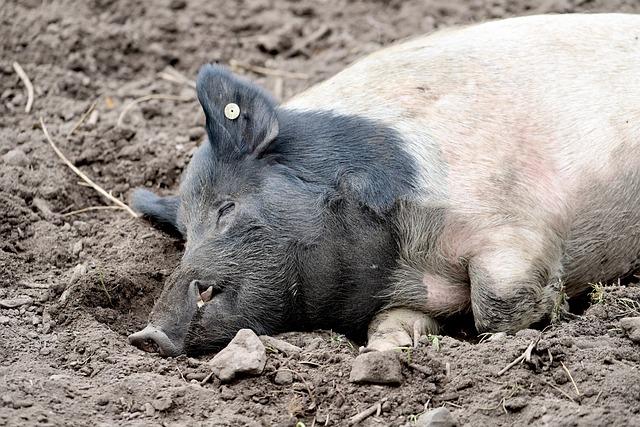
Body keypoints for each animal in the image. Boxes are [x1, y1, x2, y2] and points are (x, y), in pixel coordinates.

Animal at [127, 12, 640, 358]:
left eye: (226, 208)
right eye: (184, 234)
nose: (147, 335)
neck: (406, 261)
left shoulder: (513, 220)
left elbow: (497, 299)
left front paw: (546, 315)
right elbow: (391, 323)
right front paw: (388, 349)